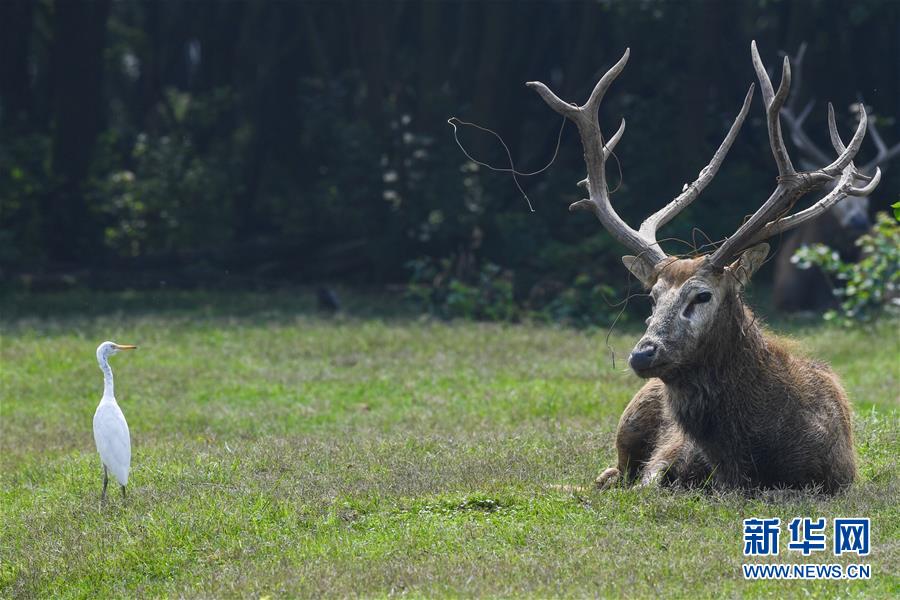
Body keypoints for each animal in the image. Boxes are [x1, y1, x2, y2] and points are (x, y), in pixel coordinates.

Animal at [524, 41, 884, 492]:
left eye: (702, 296)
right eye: (653, 297)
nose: (642, 353)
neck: (747, 461)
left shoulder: (835, 477)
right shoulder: (666, 458)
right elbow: (648, 483)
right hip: (632, 416)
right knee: (612, 471)